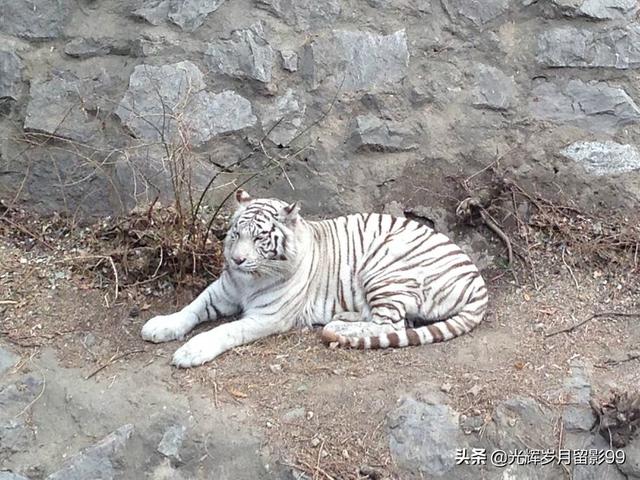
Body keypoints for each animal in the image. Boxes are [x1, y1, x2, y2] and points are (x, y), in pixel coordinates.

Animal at [142, 190, 488, 368]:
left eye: (260, 238)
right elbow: (191, 308)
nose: (237, 260)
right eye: (236, 234)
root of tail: (477, 280)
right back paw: (344, 316)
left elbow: (225, 331)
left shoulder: (268, 316)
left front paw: (190, 352)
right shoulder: (223, 290)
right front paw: (161, 326)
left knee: (392, 325)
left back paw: (339, 327)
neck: (248, 281)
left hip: (384, 269)